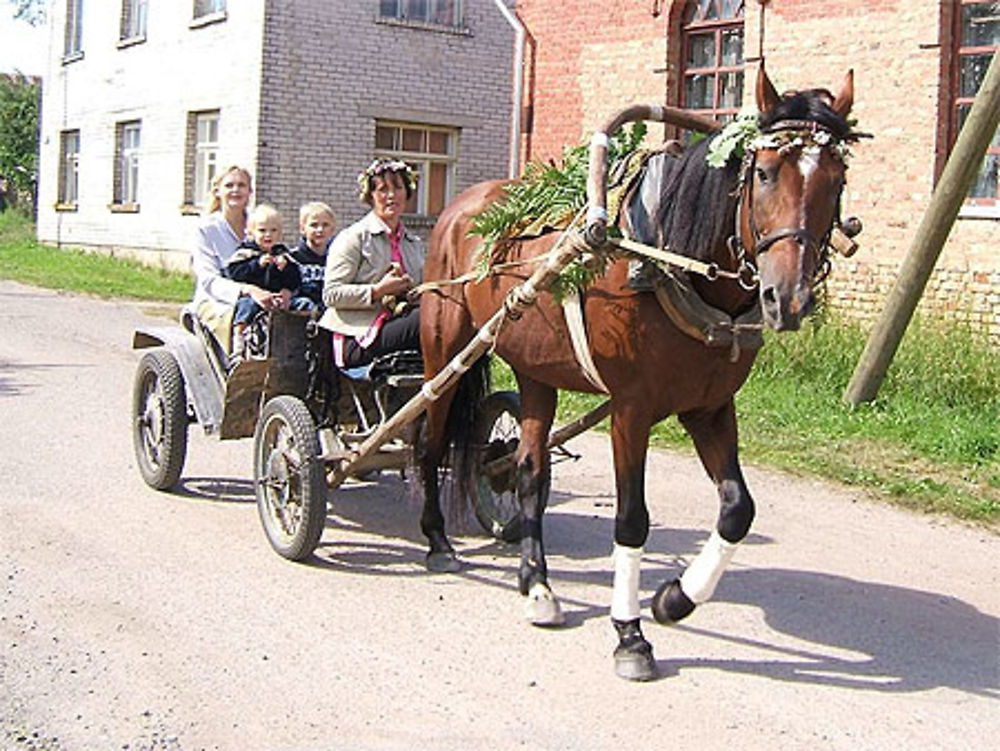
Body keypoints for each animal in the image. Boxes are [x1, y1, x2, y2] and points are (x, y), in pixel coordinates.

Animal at [414, 66, 860, 680]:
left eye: (837, 179)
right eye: (765, 173)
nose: (787, 298)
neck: (669, 261)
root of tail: (464, 205)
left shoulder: (710, 407)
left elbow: (738, 509)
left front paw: (674, 599)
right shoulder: (631, 409)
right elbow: (632, 520)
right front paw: (630, 635)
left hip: (535, 370)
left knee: (528, 470)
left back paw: (537, 584)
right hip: (446, 348)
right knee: (432, 440)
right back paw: (438, 541)